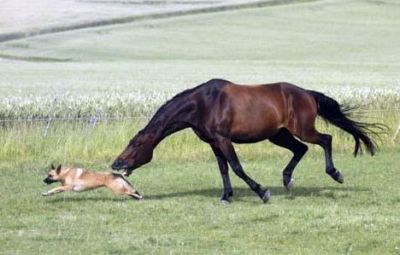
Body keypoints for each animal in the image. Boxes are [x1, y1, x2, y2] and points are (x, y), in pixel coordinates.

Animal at [111, 78, 382, 202]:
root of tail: (307, 94)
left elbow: (237, 167)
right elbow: (223, 169)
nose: (116, 164)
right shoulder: (213, 143)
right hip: (278, 135)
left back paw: (335, 174)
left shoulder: (224, 139)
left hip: (302, 129)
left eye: (136, 144)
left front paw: (262, 193)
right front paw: (226, 196)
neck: (203, 104)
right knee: (301, 149)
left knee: (325, 139)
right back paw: (287, 181)